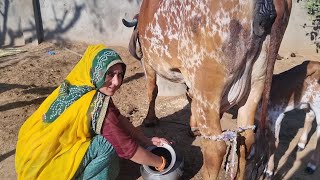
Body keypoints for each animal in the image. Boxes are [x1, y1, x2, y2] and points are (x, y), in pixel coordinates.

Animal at [124, 0, 292, 179]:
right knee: (247, 138)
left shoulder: (148, 62)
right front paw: (194, 128)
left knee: (215, 148)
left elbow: (152, 90)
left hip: (207, 86)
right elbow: (189, 97)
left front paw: (150, 120)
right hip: (256, 84)